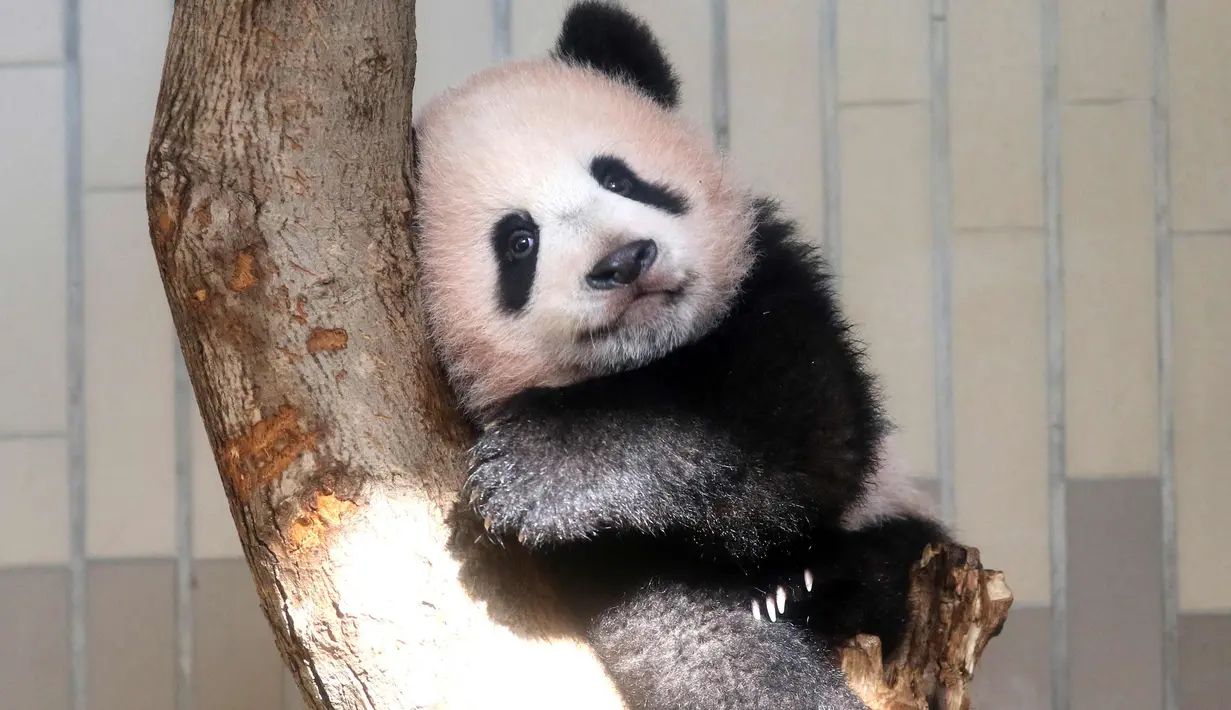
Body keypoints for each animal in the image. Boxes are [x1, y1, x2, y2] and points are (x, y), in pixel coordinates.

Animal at [411, 2, 951, 708]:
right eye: (519, 241)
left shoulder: (774, 291)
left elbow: (799, 433)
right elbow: (691, 638)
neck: (650, 358)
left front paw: (532, 471)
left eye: (619, 177)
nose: (624, 261)